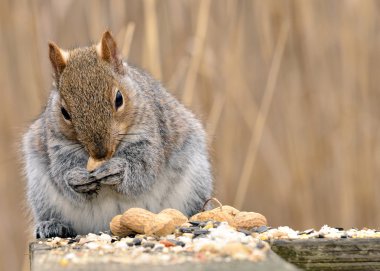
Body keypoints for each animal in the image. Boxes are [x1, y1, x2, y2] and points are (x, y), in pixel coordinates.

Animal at [22, 31, 214, 239]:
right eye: (64, 112)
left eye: (119, 99)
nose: (100, 153)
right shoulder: (57, 144)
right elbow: (60, 171)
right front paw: (75, 179)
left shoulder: (152, 135)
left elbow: (145, 168)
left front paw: (118, 170)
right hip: (41, 191)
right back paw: (52, 225)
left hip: (194, 180)